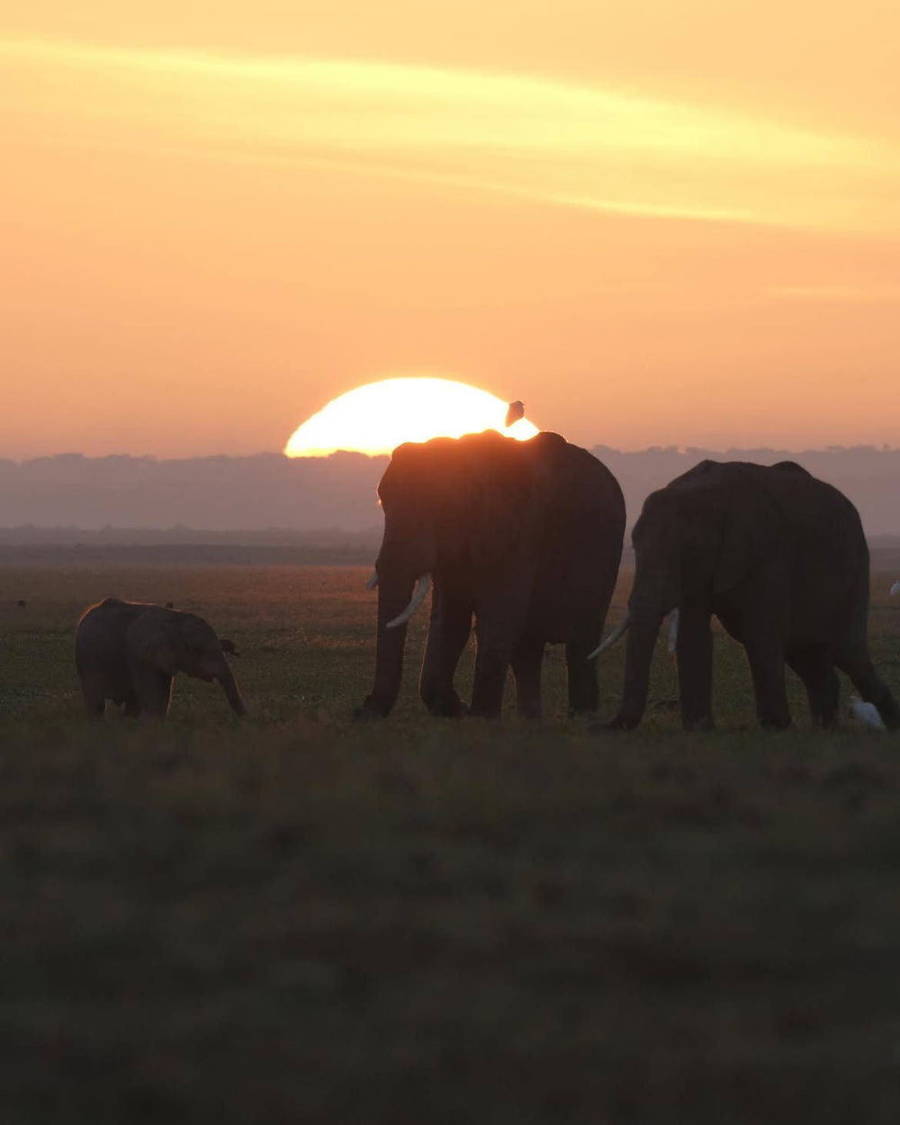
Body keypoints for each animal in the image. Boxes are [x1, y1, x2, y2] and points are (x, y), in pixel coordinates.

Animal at [75, 598, 246, 719]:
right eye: (198, 650)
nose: (244, 722)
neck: (175, 619)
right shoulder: (142, 656)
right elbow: (154, 697)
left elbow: (163, 695)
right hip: (87, 660)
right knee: (96, 702)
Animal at [358, 429, 626, 720]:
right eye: (383, 502)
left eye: (441, 507)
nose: (363, 709)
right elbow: (449, 619)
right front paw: (452, 708)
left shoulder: (519, 531)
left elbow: (499, 615)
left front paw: (478, 716)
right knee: (528, 648)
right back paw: (531, 718)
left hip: (607, 553)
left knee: (581, 642)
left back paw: (581, 715)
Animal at [598, 460, 898, 731]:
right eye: (633, 548)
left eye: (689, 549)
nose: (602, 727)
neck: (705, 494)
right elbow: (693, 633)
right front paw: (699, 729)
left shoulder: (767, 552)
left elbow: (759, 632)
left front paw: (775, 727)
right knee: (806, 653)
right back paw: (825, 729)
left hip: (856, 569)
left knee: (849, 653)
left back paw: (885, 723)